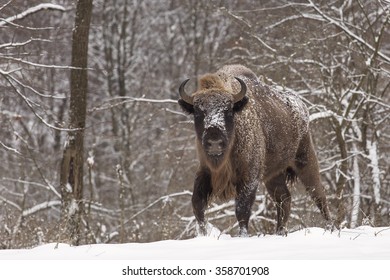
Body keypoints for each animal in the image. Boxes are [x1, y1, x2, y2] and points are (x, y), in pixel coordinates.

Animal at [178, 64, 330, 236]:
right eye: (198, 112)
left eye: (228, 111)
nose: (215, 142)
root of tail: (302, 106)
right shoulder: (205, 172)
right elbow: (197, 204)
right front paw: (203, 233)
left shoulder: (249, 177)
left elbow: (242, 209)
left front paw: (242, 235)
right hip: (274, 175)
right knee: (284, 198)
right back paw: (279, 232)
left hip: (305, 162)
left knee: (318, 195)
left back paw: (331, 227)